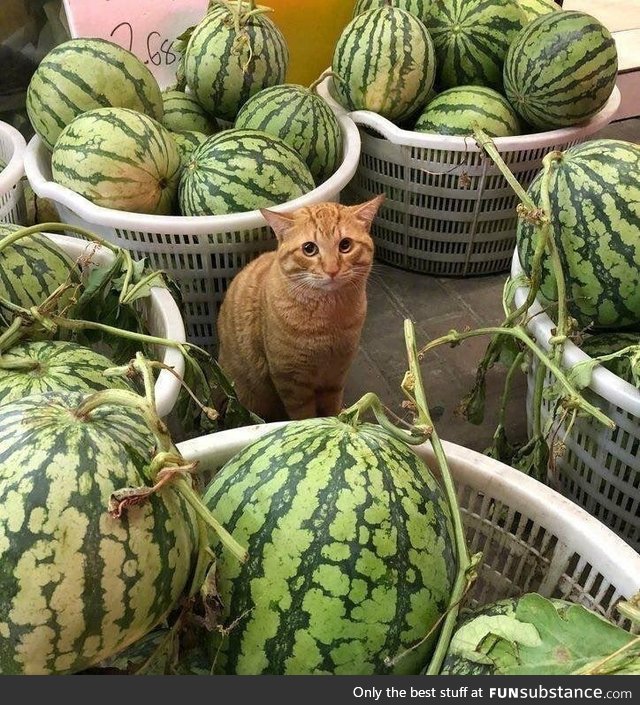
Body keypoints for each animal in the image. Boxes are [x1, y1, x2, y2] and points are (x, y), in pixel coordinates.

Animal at [218, 195, 382, 420]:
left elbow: (332, 408)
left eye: (345, 245)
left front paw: (338, 419)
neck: (328, 318)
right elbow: (304, 416)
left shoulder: (336, 374)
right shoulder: (292, 381)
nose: (332, 270)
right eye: (309, 249)